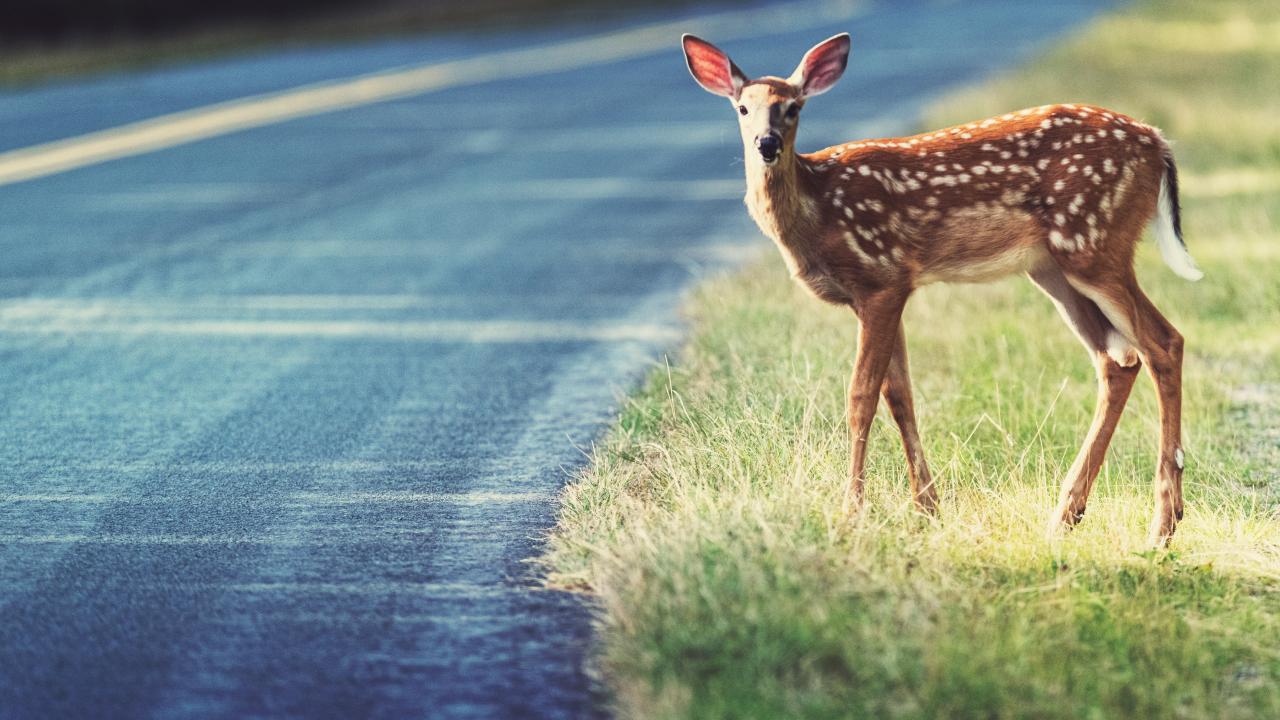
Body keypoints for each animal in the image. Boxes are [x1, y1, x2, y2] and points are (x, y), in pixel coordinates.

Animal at [681, 33, 1204, 546]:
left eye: (792, 107)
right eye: (742, 108)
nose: (766, 144)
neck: (818, 211)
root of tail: (1158, 142)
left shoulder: (881, 277)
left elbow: (861, 397)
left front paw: (853, 514)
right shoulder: (885, 291)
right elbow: (899, 395)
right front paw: (927, 510)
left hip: (1094, 242)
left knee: (1163, 341)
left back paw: (1162, 525)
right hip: (1054, 267)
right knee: (1118, 358)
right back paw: (1066, 515)